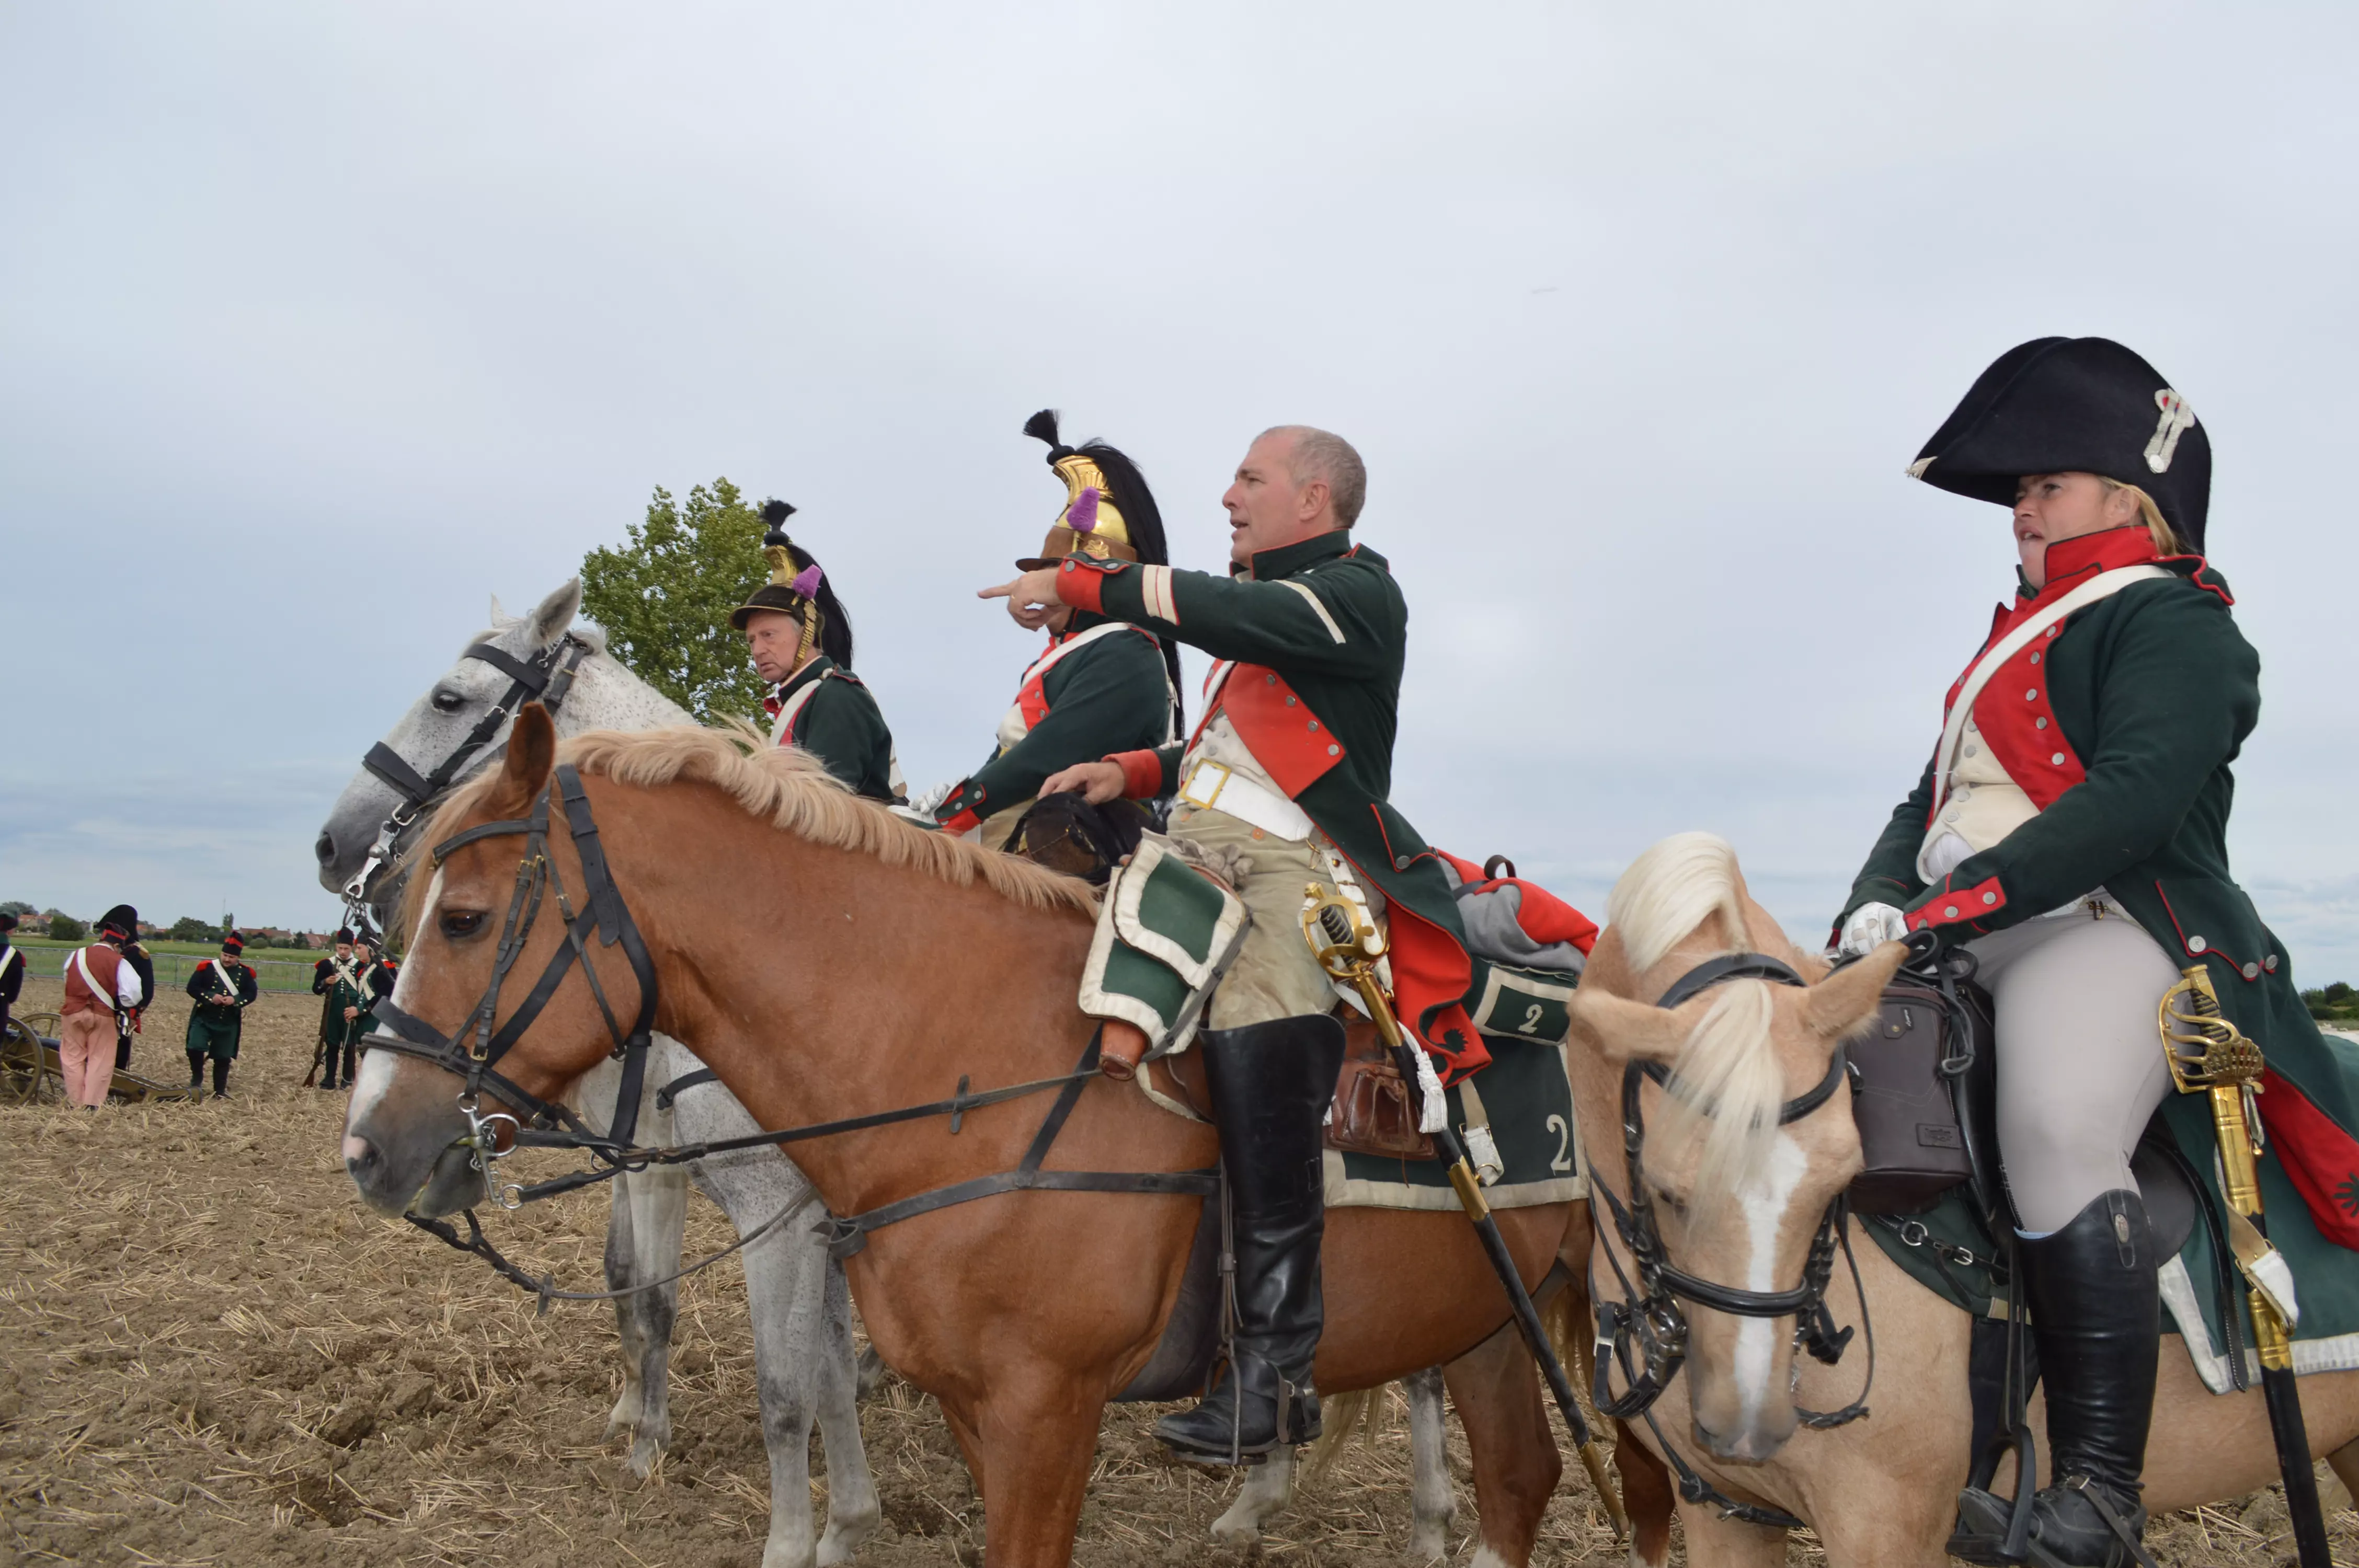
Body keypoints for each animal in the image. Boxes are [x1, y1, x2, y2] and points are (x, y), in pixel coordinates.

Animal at [314, 580, 1453, 1556]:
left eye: (450, 696)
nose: (336, 847)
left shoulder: (778, 1213)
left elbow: (788, 1383)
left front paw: (802, 1526)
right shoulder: (720, 1187)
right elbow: (673, 1305)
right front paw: (692, 1456)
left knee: (1418, 1365)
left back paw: (1426, 1518)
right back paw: (1265, 1493)